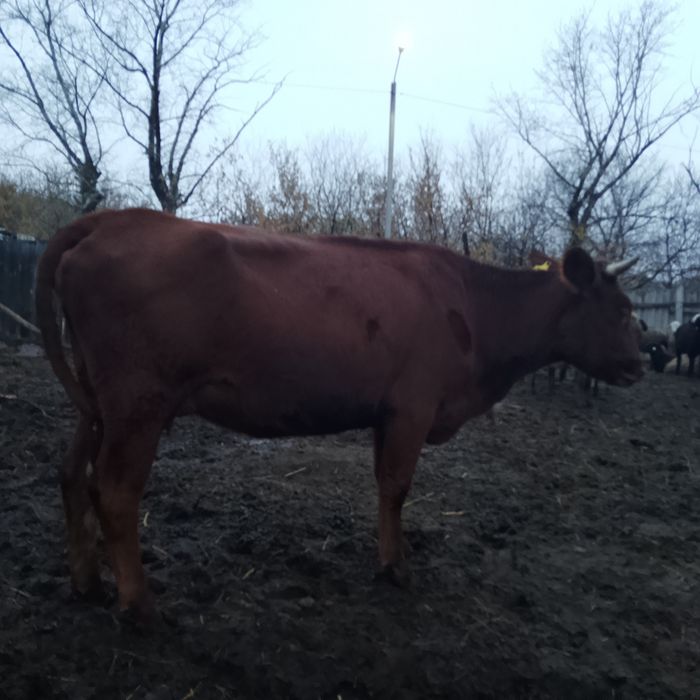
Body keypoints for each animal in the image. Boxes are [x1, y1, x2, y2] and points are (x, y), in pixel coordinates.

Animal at [35, 208, 643, 618]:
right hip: (137, 404)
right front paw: (397, 568)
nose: (646, 358)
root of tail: (116, 218)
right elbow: (397, 487)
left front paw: (389, 556)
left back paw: (86, 583)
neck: (476, 306)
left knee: (70, 475)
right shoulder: (413, 407)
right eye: (621, 309)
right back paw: (138, 605)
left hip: (98, 402)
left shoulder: (387, 412)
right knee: (114, 491)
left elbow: (383, 487)